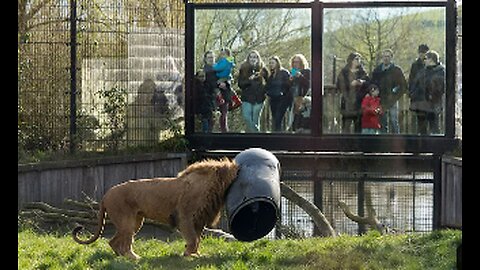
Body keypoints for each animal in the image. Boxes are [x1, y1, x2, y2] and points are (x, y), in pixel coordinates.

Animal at [72, 158, 239, 260]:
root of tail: (105, 195)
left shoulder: (199, 220)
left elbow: (196, 239)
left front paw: (196, 254)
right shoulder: (185, 216)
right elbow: (193, 238)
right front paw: (188, 255)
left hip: (135, 222)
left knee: (113, 242)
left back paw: (122, 257)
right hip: (127, 221)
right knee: (124, 243)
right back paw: (133, 258)